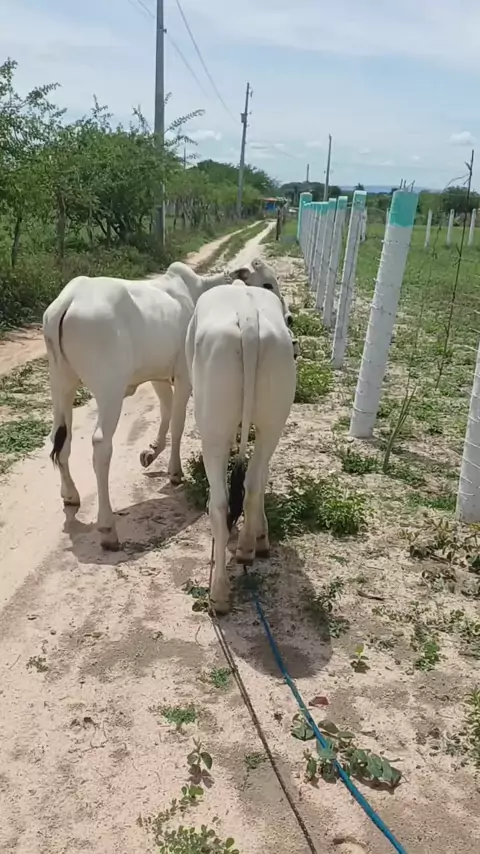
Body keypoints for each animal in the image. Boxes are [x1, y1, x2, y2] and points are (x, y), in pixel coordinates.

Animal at [43, 262, 231, 550]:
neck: (199, 291)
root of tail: (67, 301)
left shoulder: (157, 375)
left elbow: (166, 411)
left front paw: (151, 452)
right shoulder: (184, 375)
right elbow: (178, 423)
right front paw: (175, 472)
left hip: (60, 384)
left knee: (60, 438)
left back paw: (71, 494)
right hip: (109, 389)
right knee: (101, 445)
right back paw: (107, 528)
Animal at [185, 280, 296, 614]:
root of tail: (247, 317)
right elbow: (262, 476)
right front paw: (261, 535)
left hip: (213, 430)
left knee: (221, 504)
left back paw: (219, 593)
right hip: (273, 420)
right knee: (253, 483)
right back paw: (248, 547)